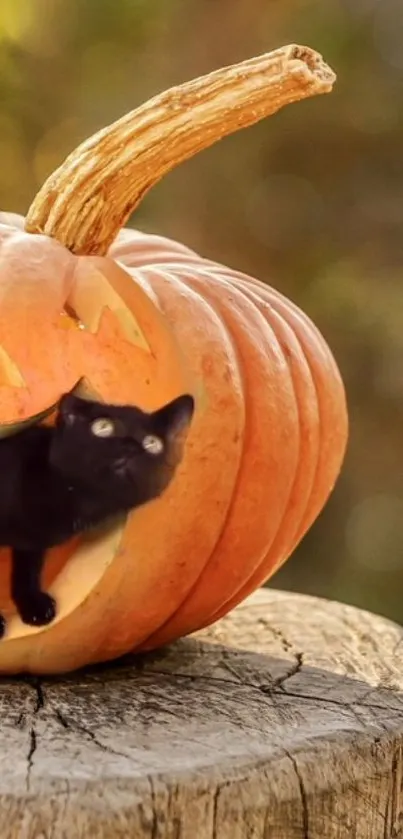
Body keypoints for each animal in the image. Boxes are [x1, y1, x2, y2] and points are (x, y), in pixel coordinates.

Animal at [0, 394, 194, 636]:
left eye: (152, 443)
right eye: (103, 427)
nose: (131, 447)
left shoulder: (32, 543)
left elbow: (28, 569)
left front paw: (34, 605)